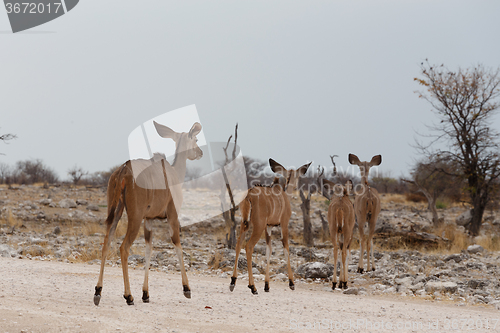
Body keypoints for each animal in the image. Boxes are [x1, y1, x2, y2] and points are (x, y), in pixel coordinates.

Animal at [94, 120, 203, 304]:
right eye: (195, 139)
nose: (200, 152)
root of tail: (123, 170)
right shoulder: (172, 215)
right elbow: (177, 245)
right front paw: (187, 288)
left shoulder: (149, 220)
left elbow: (148, 248)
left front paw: (145, 293)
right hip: (135, 217)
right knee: (124, 247)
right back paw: (128, 295)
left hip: (116, 211)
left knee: (106, 242)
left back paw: (98, 291)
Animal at [229, 158, 308, 294]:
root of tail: (249, 194)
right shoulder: (283, 225)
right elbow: (286, 250)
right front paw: (291, 283)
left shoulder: (268, 227)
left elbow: (268, 251)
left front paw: (267, 285)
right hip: (258, 226)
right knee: (249, 246)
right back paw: (253, 287)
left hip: (245, 224)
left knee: (238, 244)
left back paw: (233, 282)